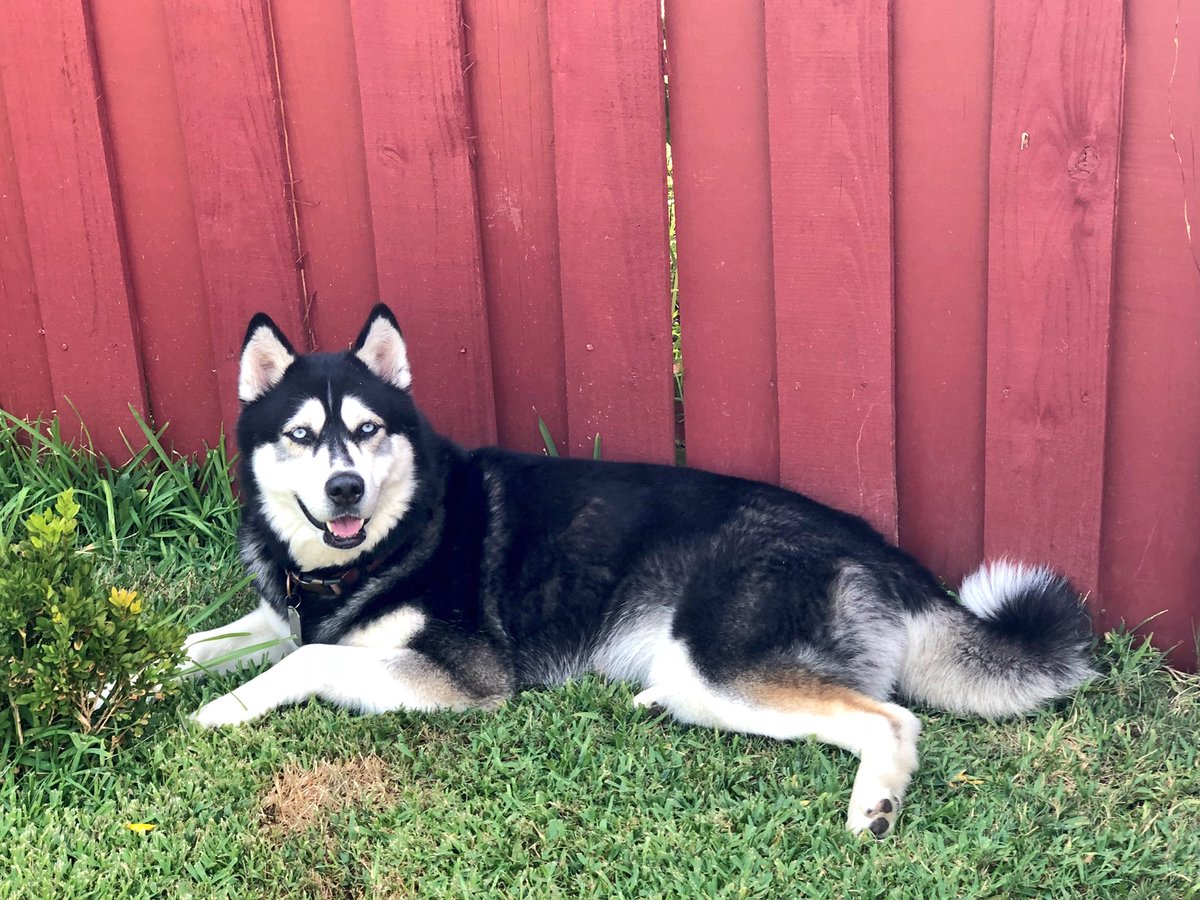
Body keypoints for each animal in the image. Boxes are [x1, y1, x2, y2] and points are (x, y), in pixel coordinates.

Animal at [187, 304, 1099, 840]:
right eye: (302, 436)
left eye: (368, 430)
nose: (344, 487)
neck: (361, 554)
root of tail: (881, 547)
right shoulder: (276, 613)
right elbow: (202, 643)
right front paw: (160, 677)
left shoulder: (465, 675)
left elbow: (309, 657)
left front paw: (223, 708)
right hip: (715, 671)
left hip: (721, 654)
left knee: (891, 719)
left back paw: (874, 804)